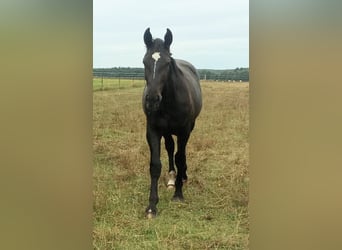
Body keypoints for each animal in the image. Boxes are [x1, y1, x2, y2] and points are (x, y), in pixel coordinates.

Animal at [142, 28, 202, 218]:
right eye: (144, 61)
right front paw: (152, 206)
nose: (152, 100)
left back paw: (182, 176)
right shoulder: (152, 130)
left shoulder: (184, 131)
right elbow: (155, 165)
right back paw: (171, 178)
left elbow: (180, 158)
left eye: (167, 63)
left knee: (179, 152)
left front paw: (178, 194)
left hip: (189, 128)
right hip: (167, 131)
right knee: (169, 148)